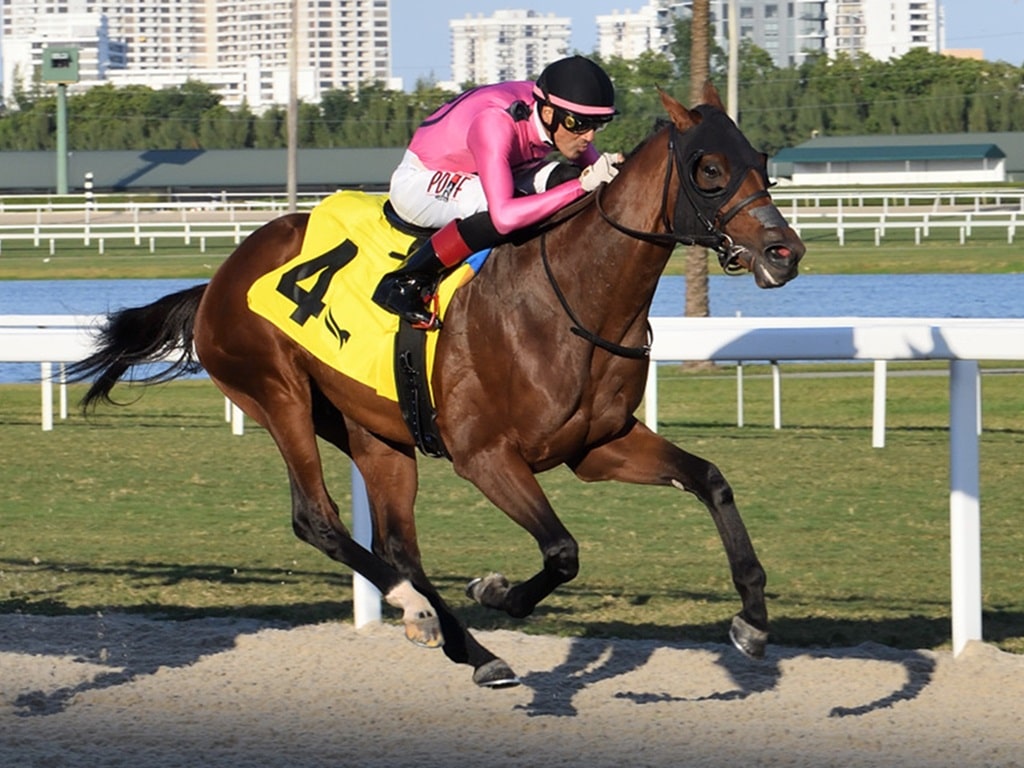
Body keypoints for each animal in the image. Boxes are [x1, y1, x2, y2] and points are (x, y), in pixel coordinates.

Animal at [70, 85, 806, 692]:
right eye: (709, 169)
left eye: (762, 160)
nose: (785, 253)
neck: (571, 297)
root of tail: (220, 276)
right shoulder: (485, 455)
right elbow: (562, 553)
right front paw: (496, 591)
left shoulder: (599, 445)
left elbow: (710, 480)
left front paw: (752, 621)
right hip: (278, 395)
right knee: (319, 519)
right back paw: (420, 609)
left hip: (373, 428)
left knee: (397, 545)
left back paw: (461, 642)